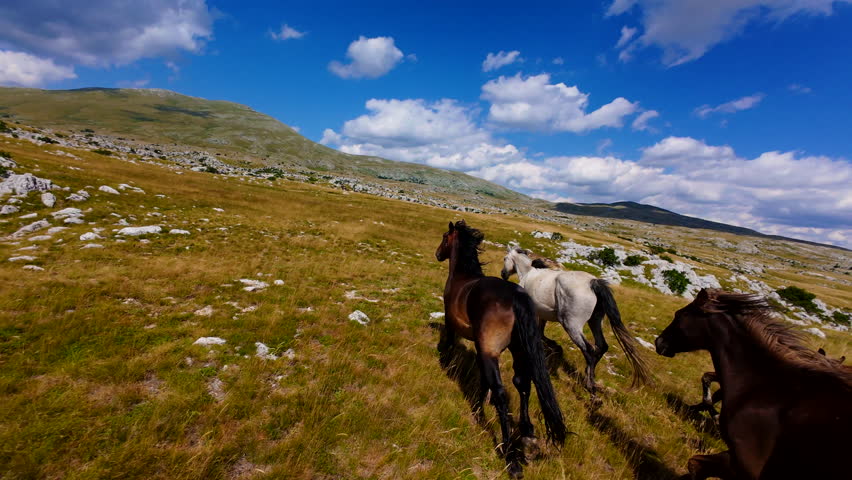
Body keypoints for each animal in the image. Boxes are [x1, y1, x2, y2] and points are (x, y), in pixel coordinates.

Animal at [436, 221, 566, 478]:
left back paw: (511, 458)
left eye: (445, 237)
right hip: (519, 351)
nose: (437, 254)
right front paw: (478, 406)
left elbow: (451, 344)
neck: (462, 276)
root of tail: (516, 296)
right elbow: (483, 380)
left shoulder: (458, 327)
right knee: (523, 384)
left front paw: (445, 360)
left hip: (494, 353)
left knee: (502, 392)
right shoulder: (481, 347)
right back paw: (527, 434)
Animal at [501, 246, 651, 396]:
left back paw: (590, 385)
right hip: (595, 322)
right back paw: (590, 377)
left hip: (571, 325)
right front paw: (553, 346)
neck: (528, 274)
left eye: (505, 258)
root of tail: (593, 283)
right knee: (601, 346)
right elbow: (541, 334)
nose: (503, 274)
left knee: (589, 350)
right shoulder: (541, 315)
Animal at [655, 289, 852, 479]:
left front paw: (708, 412)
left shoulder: (747, 464)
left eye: (679, 314)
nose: (659, 342)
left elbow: (695, 464)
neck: (764, 383)